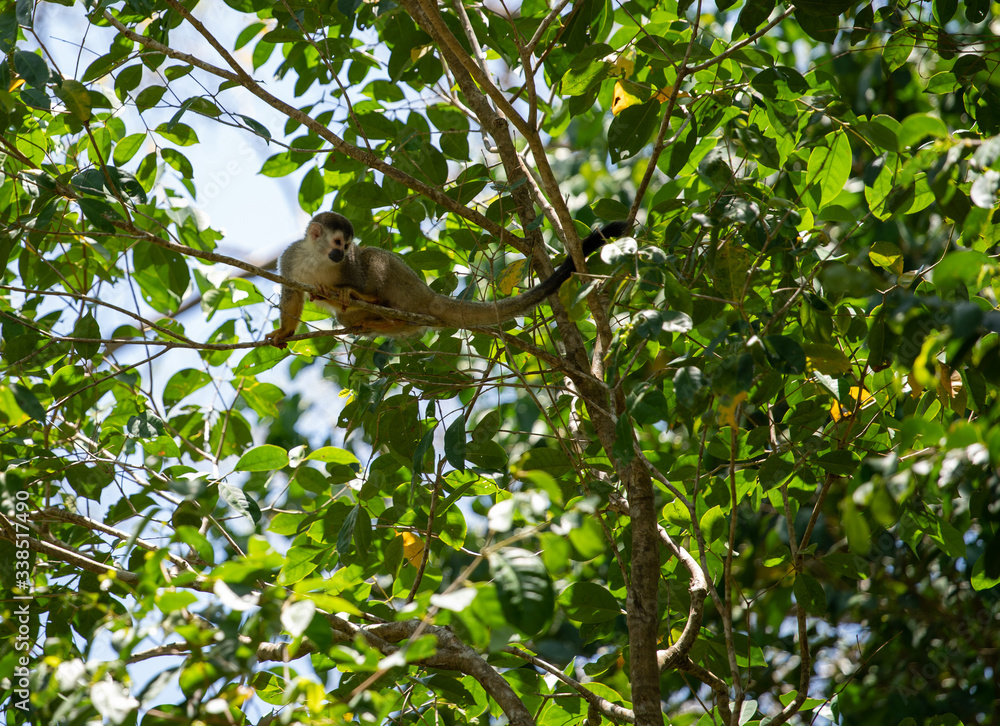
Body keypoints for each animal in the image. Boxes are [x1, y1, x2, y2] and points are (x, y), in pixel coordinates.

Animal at [264, 212, 629, 347]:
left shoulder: (349, 265)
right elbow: (292, 296)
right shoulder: (290, 259)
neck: (318, 258)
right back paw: (379, 322)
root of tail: (427, 295)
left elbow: (360, 272)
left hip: (406, 284)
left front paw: (344, 292)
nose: (342, 253)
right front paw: (285, 331)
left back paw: (370, 302)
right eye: (337, 242)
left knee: (374, 259)